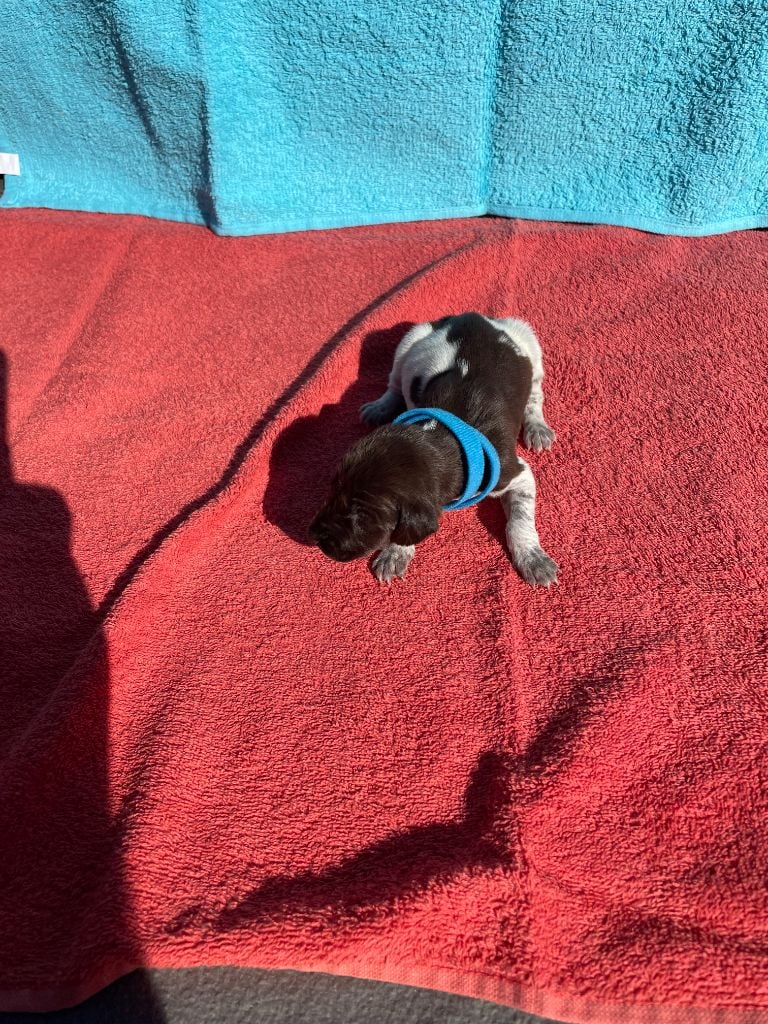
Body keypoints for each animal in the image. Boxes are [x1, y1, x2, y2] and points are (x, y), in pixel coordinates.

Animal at [308, 313, 558, 586]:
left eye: (360, 517)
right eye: (333, 489)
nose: (313, 536)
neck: (443, 434)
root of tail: (473, 316)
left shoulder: (516, 473)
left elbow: (519, 521)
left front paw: (533, 558)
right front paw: (396, 552)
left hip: (528, 341)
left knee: (535, 396)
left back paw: (537, 426)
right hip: (409, 341)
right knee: (394, 384)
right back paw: (380, 407)